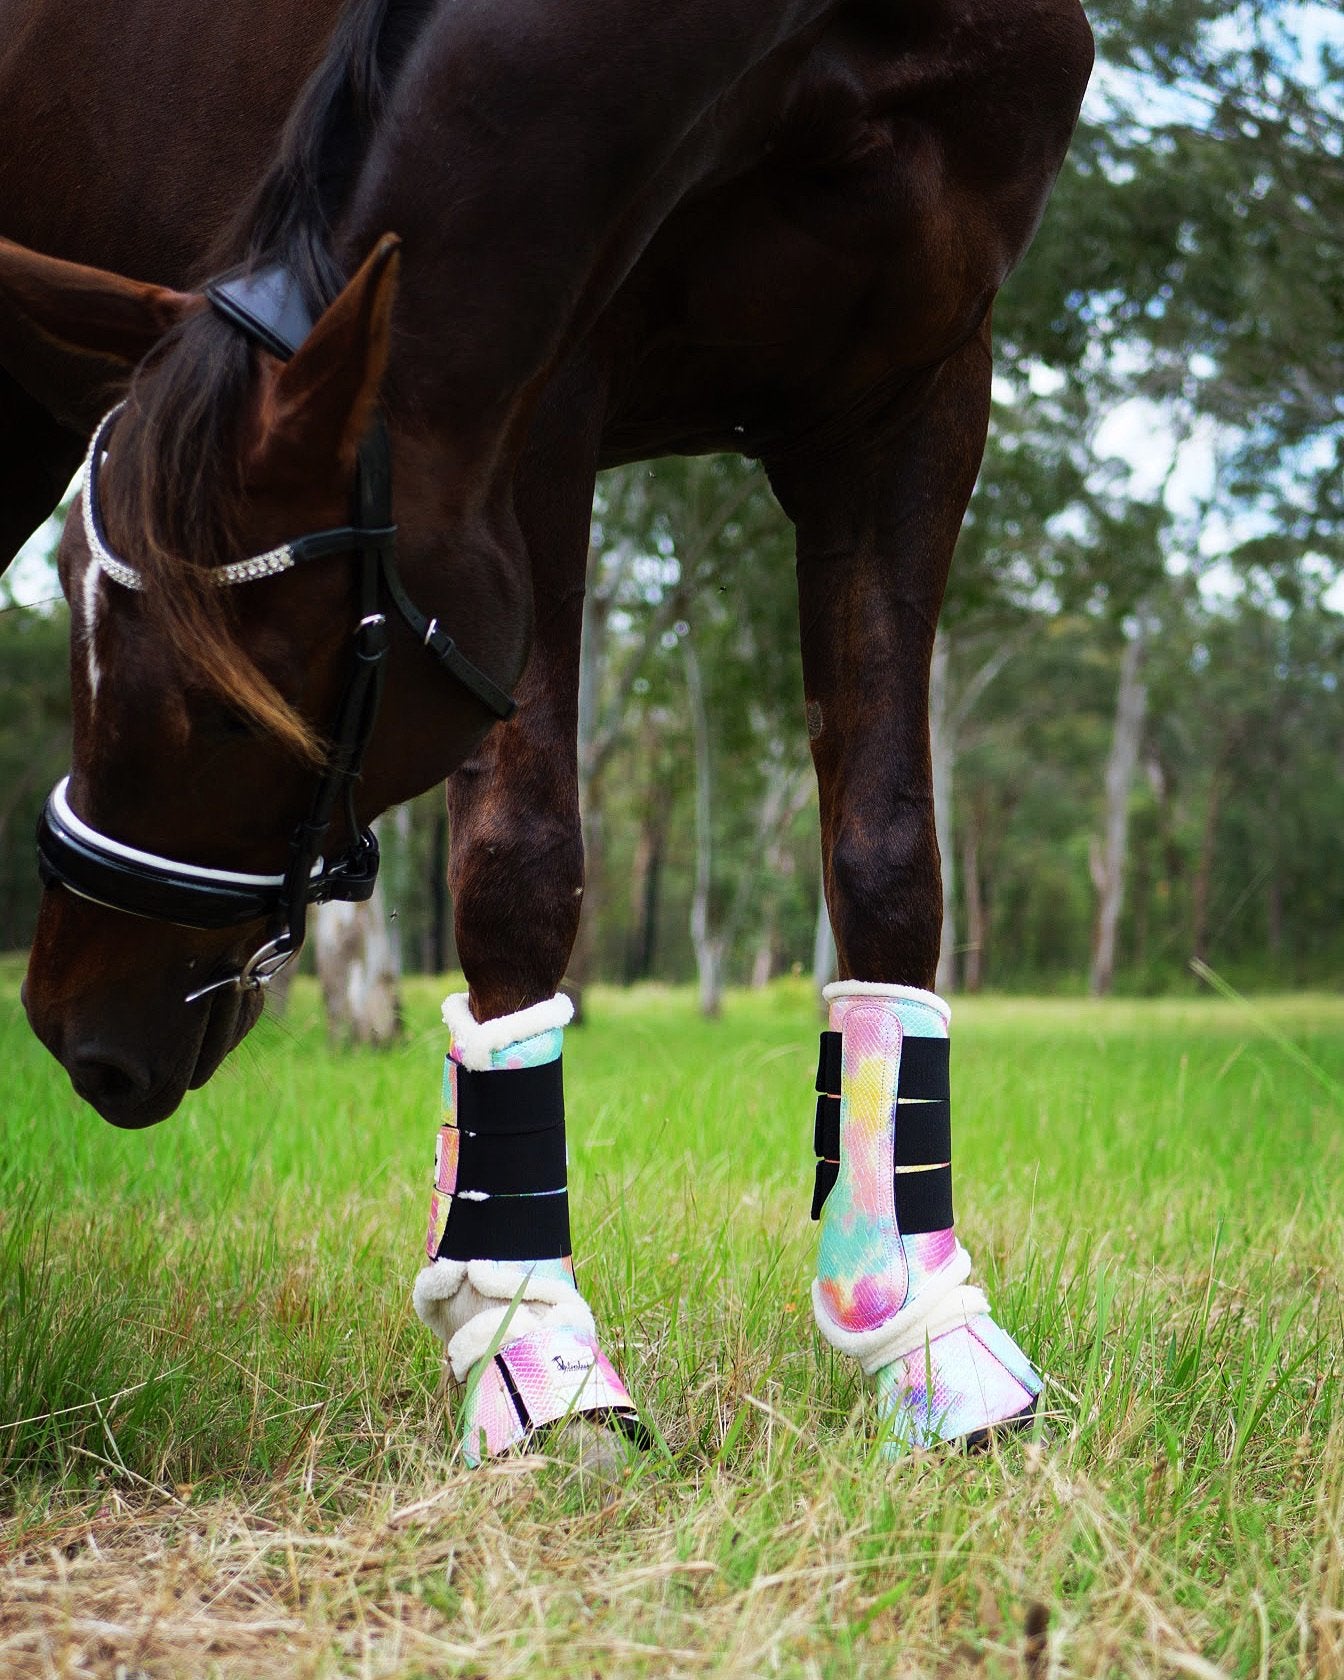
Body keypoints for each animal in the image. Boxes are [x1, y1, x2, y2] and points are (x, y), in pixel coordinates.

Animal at [2, 0, 1094, 1460]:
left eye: (225, 708)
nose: (78, 1030)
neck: (826, 47)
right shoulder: (538, 386)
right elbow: (523, 870)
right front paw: (534, 1350)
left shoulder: (917, 388)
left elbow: (888, 858)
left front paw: (922, 1338)